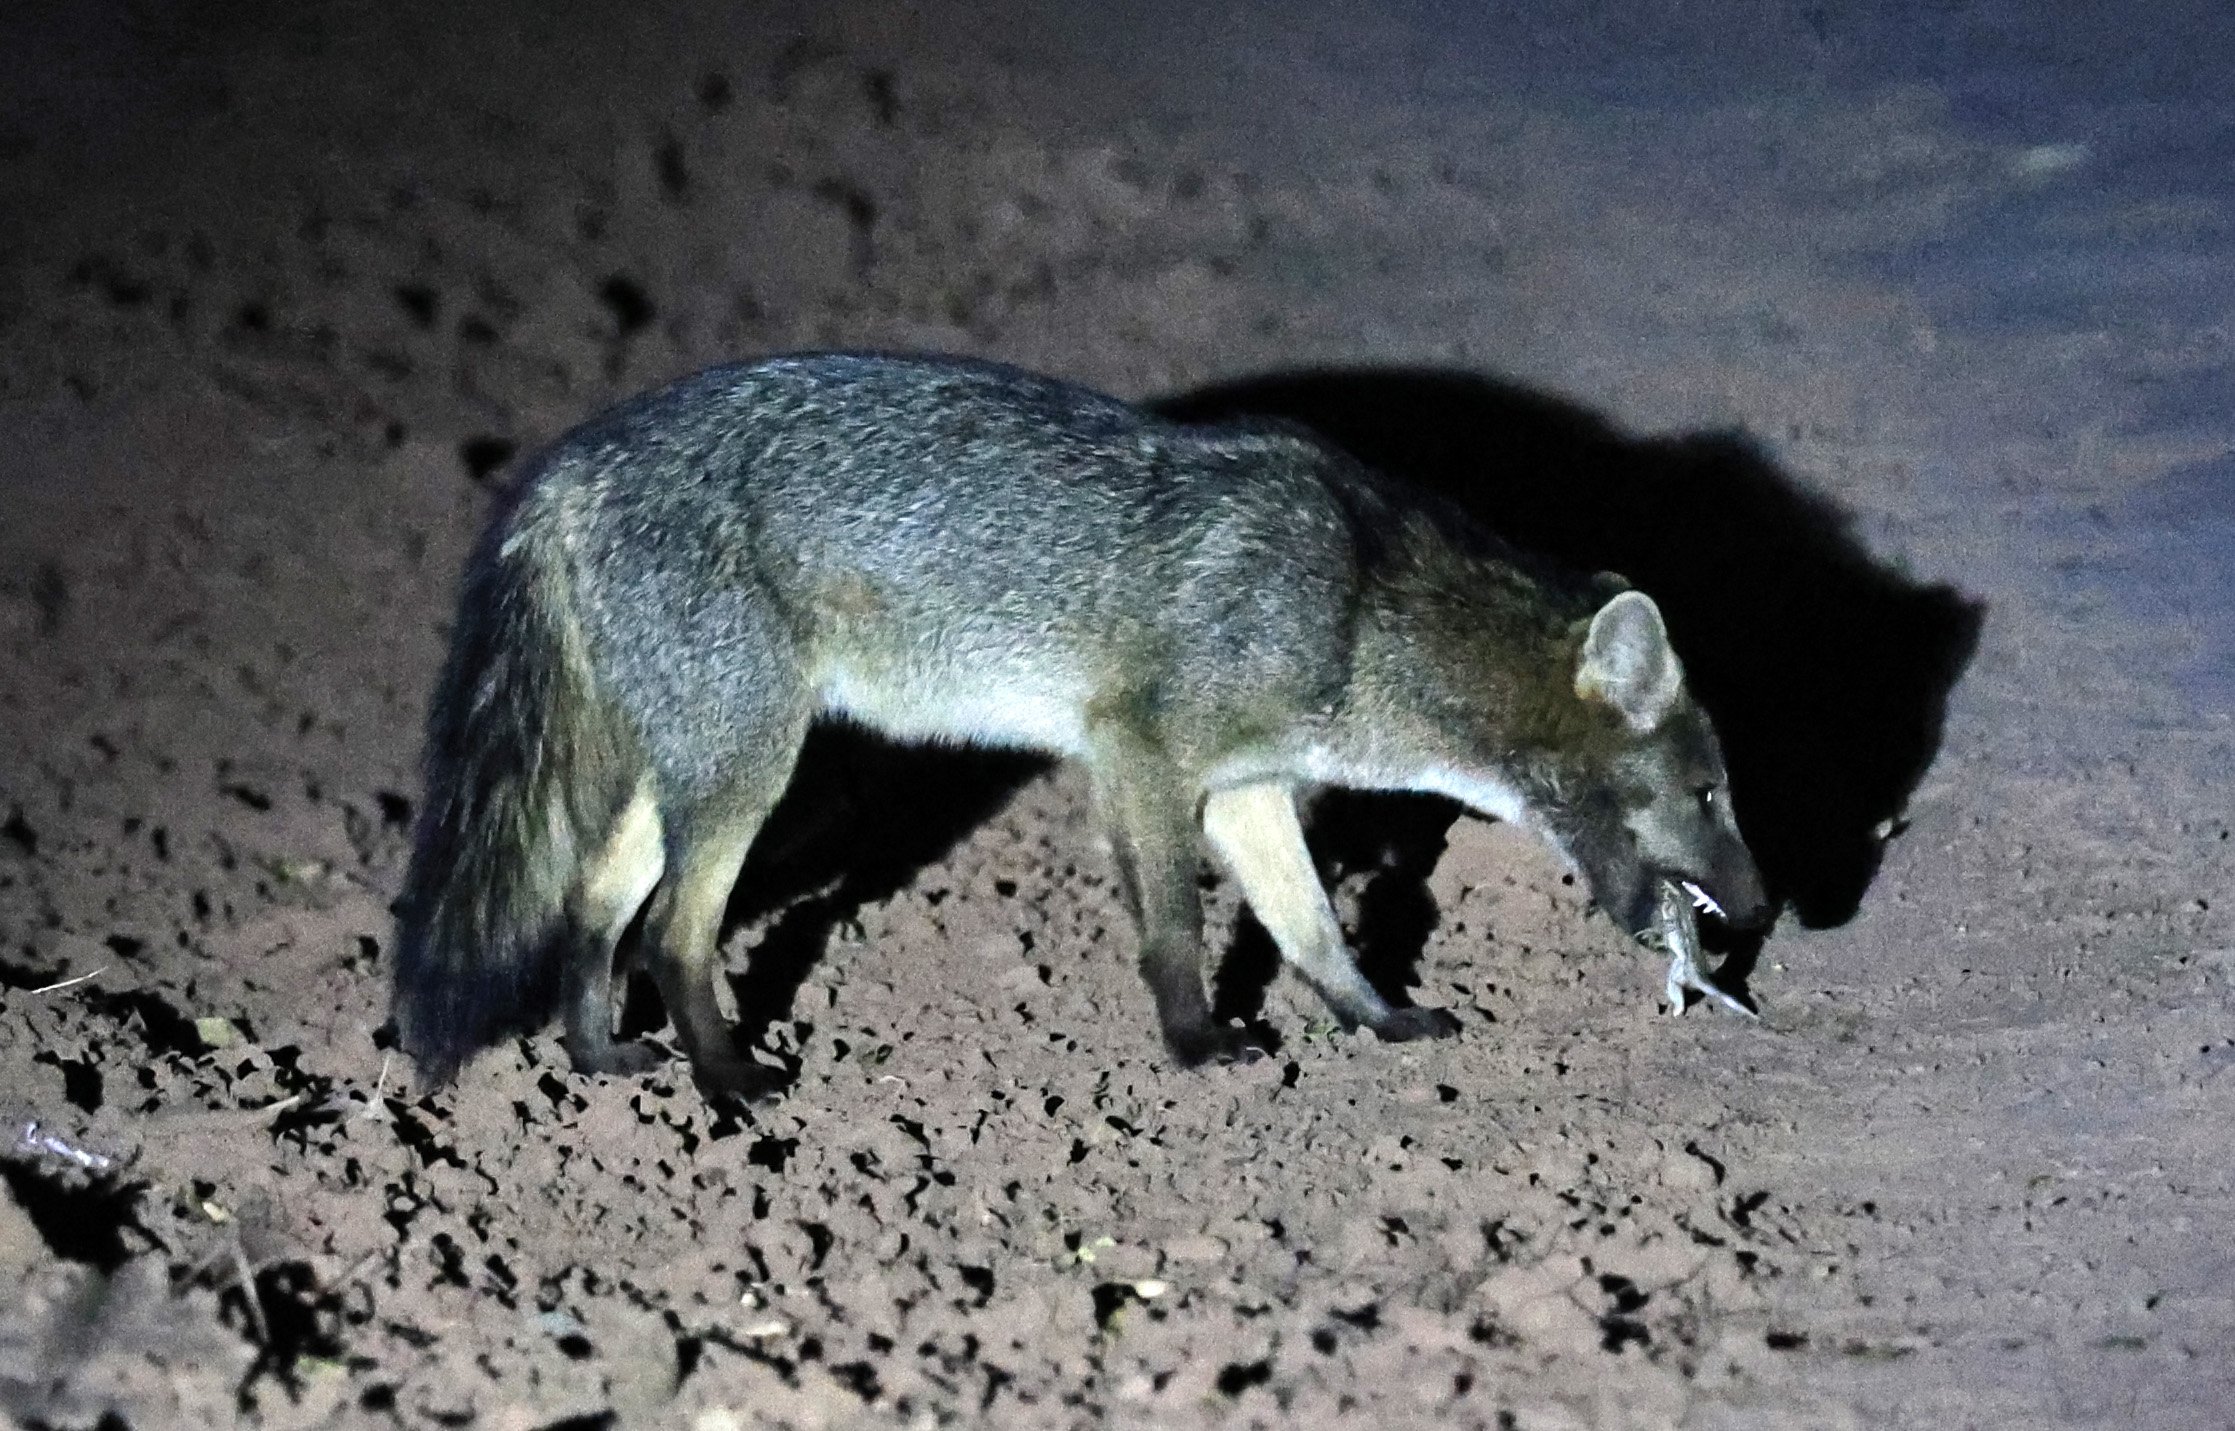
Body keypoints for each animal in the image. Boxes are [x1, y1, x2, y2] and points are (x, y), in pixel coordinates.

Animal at [392, 353, 1770, 1098]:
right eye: (1711, 794)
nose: (1764, 915)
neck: (1360, 598)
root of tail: (570, 465)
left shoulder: (1248, 792)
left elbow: (1316, 931)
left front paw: (1380, 1024)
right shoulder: (1144, 756)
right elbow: (1175, 931)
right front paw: (1195, 1047)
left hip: (678, 777)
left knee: (590, 912)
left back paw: (601, 1062)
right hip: (746, 774)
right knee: (675, 932)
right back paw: (727, 1077)